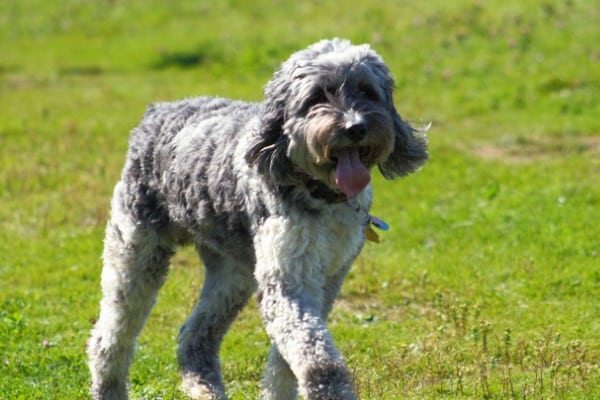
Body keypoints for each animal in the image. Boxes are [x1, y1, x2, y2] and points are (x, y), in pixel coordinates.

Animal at [88, 38, 426, 400]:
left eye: (367, 91)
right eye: (318, 96)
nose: (355, 127)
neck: (320, 195)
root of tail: (157, 113)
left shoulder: (325, 280)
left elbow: (286, 361)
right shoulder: (288, 281)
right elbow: (318, 361)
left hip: (232, 275)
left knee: (194, 336)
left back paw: (205, 389)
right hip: (135, 255)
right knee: (109, 339)